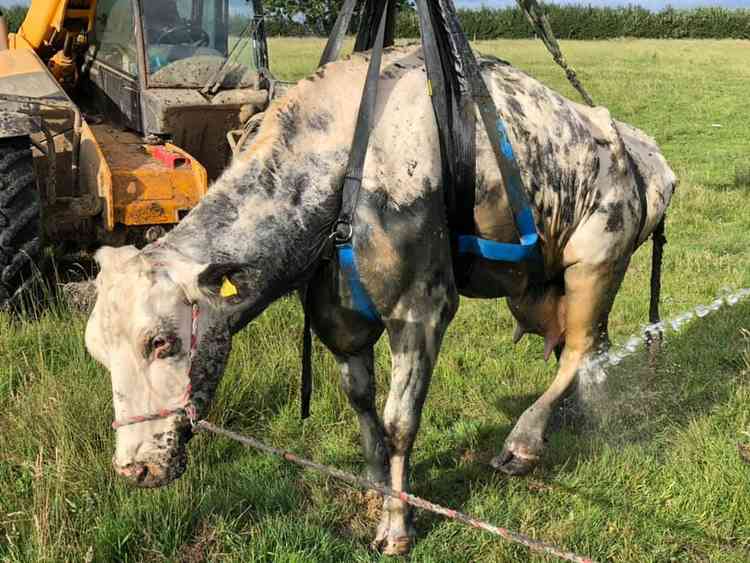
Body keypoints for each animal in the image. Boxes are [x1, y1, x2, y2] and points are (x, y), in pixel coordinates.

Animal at [85, 45, 680, 556]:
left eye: (161, 342)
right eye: (98, 354)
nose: (133, 469)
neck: (344, 166)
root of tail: (644, 153)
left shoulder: (420, 311)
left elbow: (399, 423)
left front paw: (397, 524)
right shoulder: (339, 319)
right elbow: (362, 405)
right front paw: (376, 489)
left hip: (595, 261)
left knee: (579, 347)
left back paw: (523, 443)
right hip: (544, 283)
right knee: (587, 348)